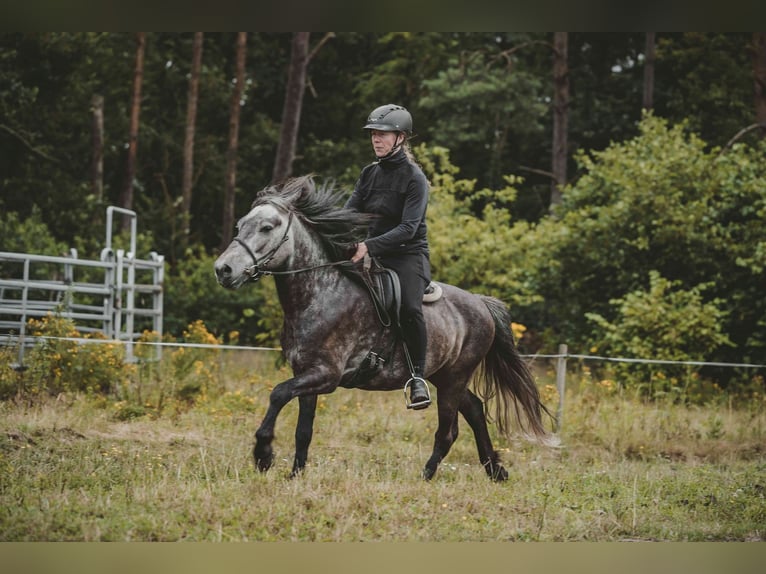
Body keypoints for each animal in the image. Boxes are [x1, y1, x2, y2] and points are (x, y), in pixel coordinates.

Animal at [216, 176, 560, 482]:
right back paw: (495, 470)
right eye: (240, 226)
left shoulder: (325, 375)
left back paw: (426, 476)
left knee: (448, 431)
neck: (320, 294)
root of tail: (481, 303)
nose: (223, 270)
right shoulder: (306, 374)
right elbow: (304, 430)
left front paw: (263, 454)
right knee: (475, 410)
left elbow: (277, 393)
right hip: (444, 375)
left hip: (454, 377)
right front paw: (295, 475)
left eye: (267, 227)